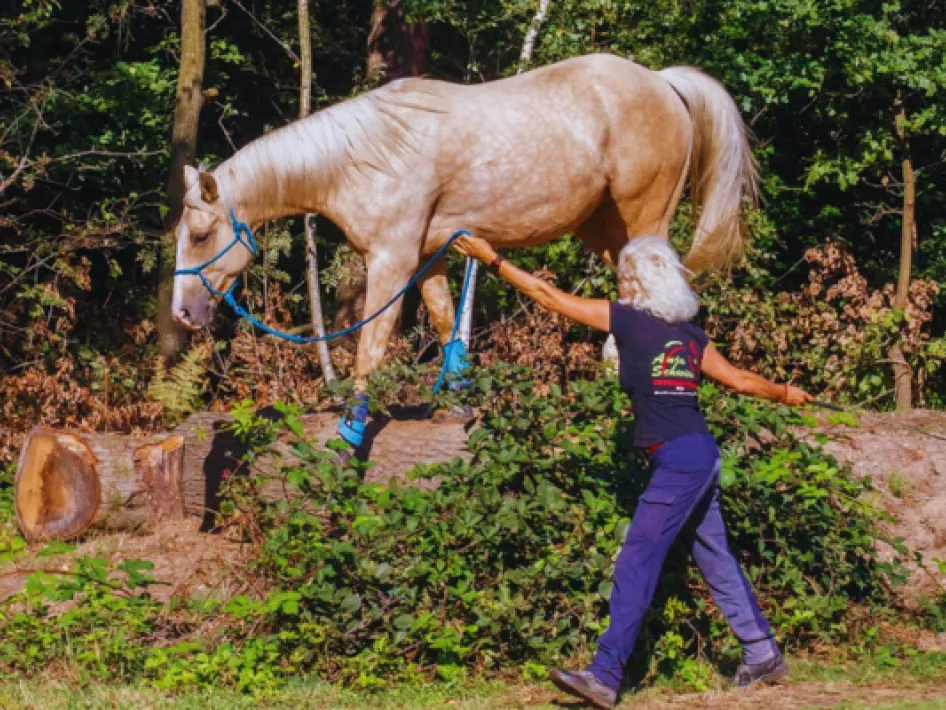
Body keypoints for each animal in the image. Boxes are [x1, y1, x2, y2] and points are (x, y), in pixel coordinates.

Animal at [171, 53, 757, 446]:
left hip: (643, 218)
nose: (183, 313)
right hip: (604, 228)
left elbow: (370, 345)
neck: (364, 158)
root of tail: (662, 81)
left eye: (200, 235)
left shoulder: (391, 261)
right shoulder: (425, 258)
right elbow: (443, 320)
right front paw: (454, 404)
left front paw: (352, 431)